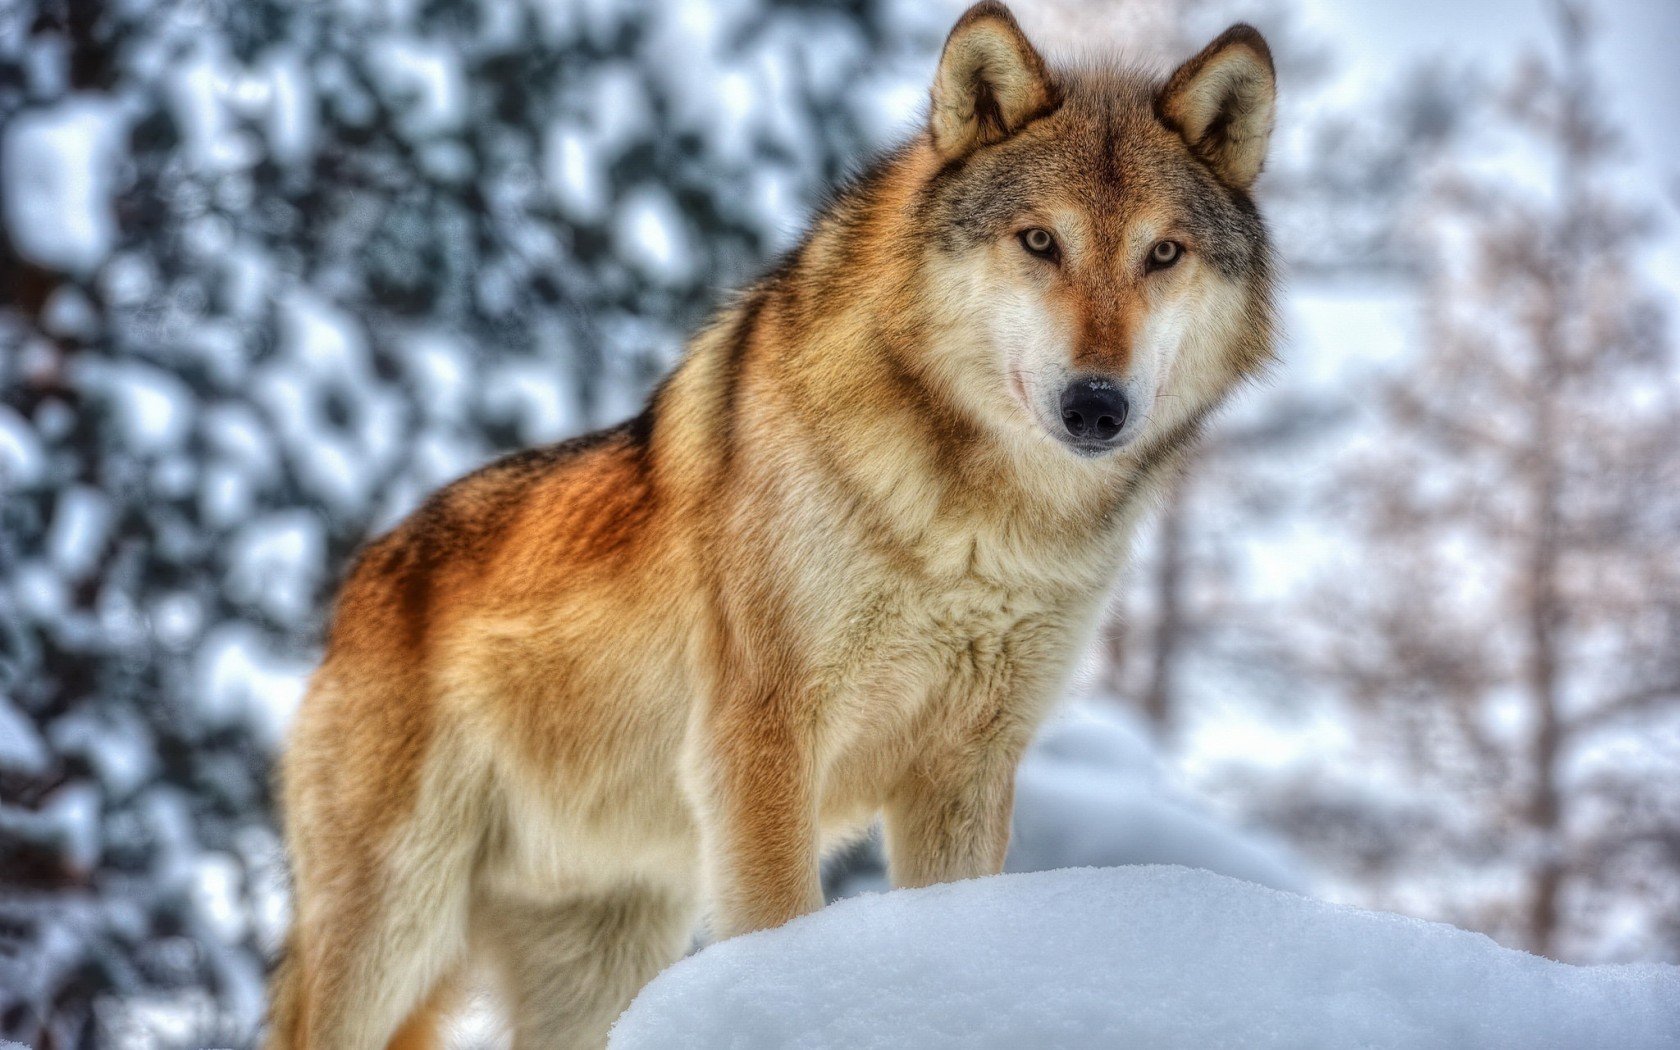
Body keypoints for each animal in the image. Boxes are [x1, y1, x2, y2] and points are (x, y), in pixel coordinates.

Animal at [267, 3, 1278, 1046]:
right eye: (1040, 240)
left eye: (1163, 253)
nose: (1097, 406)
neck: (982, 535)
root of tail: (359, 585)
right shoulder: (763, 738)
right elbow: (779, 917)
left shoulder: (965, 767)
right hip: (396, 936)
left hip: (597, 964)